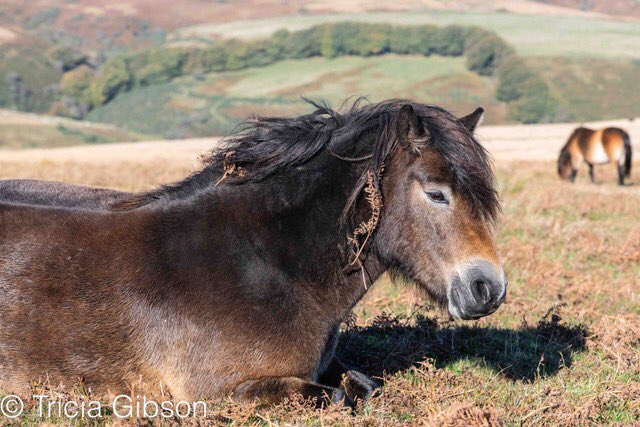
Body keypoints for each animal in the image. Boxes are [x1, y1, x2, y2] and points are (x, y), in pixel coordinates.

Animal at [0, 99, 506, 406]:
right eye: (437, 194)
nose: (489, 288)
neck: (261, 264)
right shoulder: (219, 392)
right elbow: (337, 396)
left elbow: (362, 385)